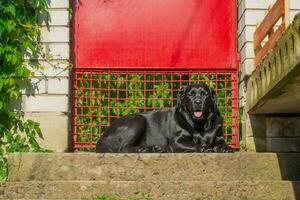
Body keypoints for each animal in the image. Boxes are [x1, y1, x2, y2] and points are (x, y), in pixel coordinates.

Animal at [97, 83, 233, 153]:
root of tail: (102, 137)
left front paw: (226, 148)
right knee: (123, 148)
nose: (198, 102)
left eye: (205, 94)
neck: (200, 125)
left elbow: (221, 143)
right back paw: (148, 148)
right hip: (137, 121)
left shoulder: (218, 137)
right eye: (190, 94)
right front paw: (204, 148)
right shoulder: (177, 142)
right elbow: (194, 145)